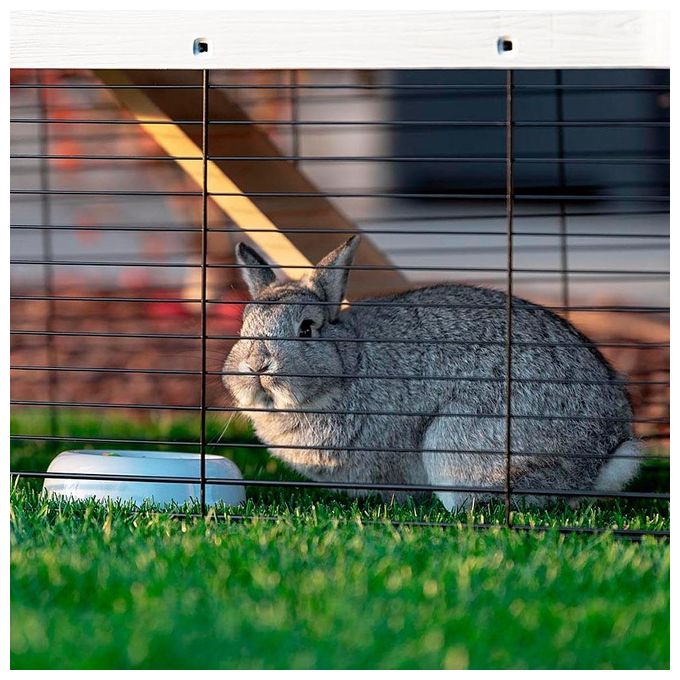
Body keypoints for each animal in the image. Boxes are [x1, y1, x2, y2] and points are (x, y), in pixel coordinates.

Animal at [223, 235, 641, 511]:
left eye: (306, 329)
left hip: (457, 447)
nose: (257, 365)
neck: (349, 365)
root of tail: (603, 455)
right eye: (244, 325)